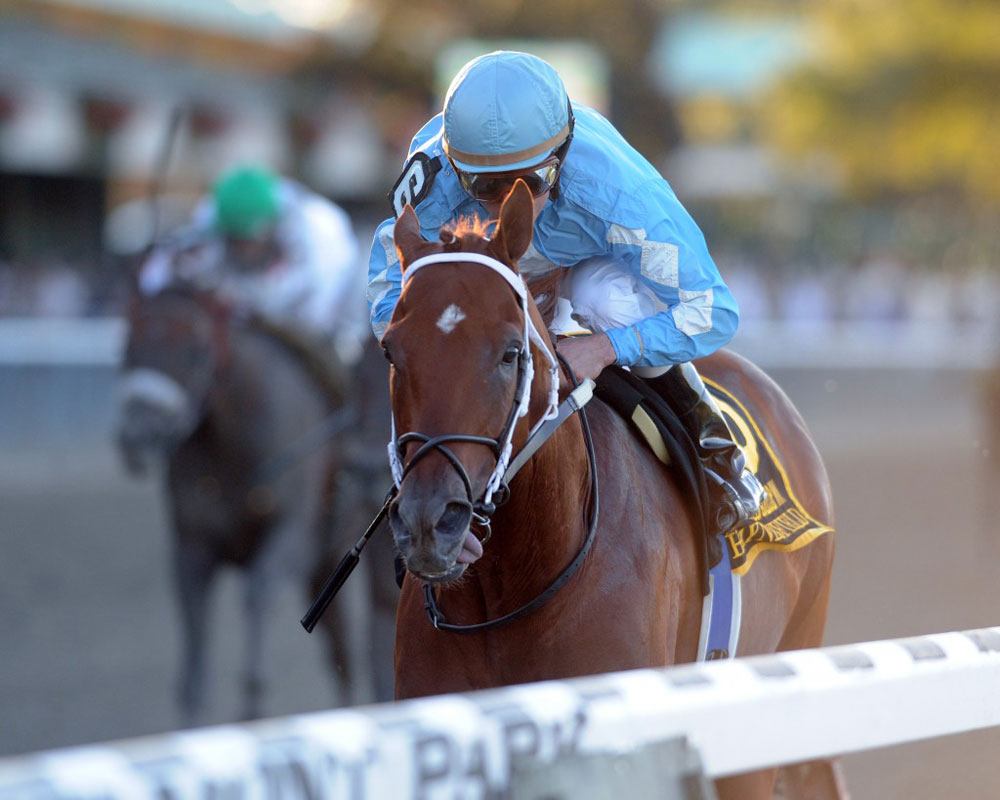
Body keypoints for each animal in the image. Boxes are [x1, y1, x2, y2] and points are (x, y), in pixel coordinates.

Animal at [115, 286, 384, 720]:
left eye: (195, 351)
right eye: (127, 347)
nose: (137, 435)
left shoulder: (294, 537)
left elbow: (257, 594)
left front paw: (253, 703)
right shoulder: (192, 549)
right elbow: (194, 650)